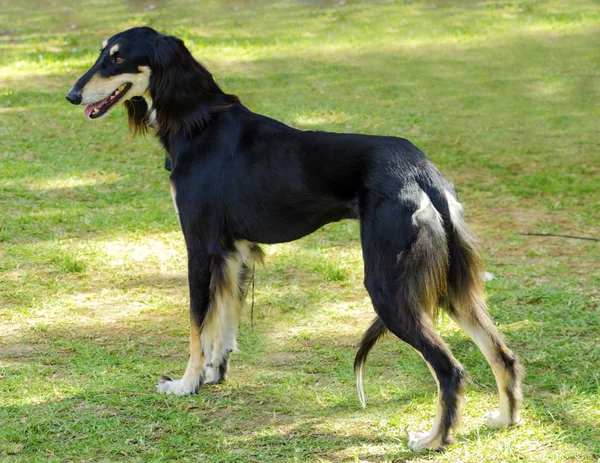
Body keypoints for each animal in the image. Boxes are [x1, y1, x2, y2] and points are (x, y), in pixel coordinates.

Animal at [68, 27, 524, 452]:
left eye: (118, 57)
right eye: (102, 53)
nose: (73, 95)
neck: (200, 120)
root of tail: (423, 171)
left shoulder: (199, 248)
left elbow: (198, 325)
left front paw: (186, 384)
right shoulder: (233, 252)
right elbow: (224, 325)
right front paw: (215, 374)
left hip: (389, 286)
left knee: (449, 369)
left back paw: (433, 440)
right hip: (449, 283)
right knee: (502, 355)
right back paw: (504, 420)